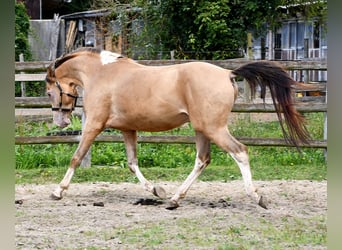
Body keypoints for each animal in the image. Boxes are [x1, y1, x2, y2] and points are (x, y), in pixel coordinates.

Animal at [45, 47, 310, 209]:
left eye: (49, 91)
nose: (61, 122)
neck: (101, 73)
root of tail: (228, 73)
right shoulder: (128, 129)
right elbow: (132, 163)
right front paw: (156, 190)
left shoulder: (94, 125)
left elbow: (77, 157)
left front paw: (58, 191)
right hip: (202, 129)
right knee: (202, 160)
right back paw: (174, 199)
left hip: (213, 128)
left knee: (240, 152)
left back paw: (256, 196)